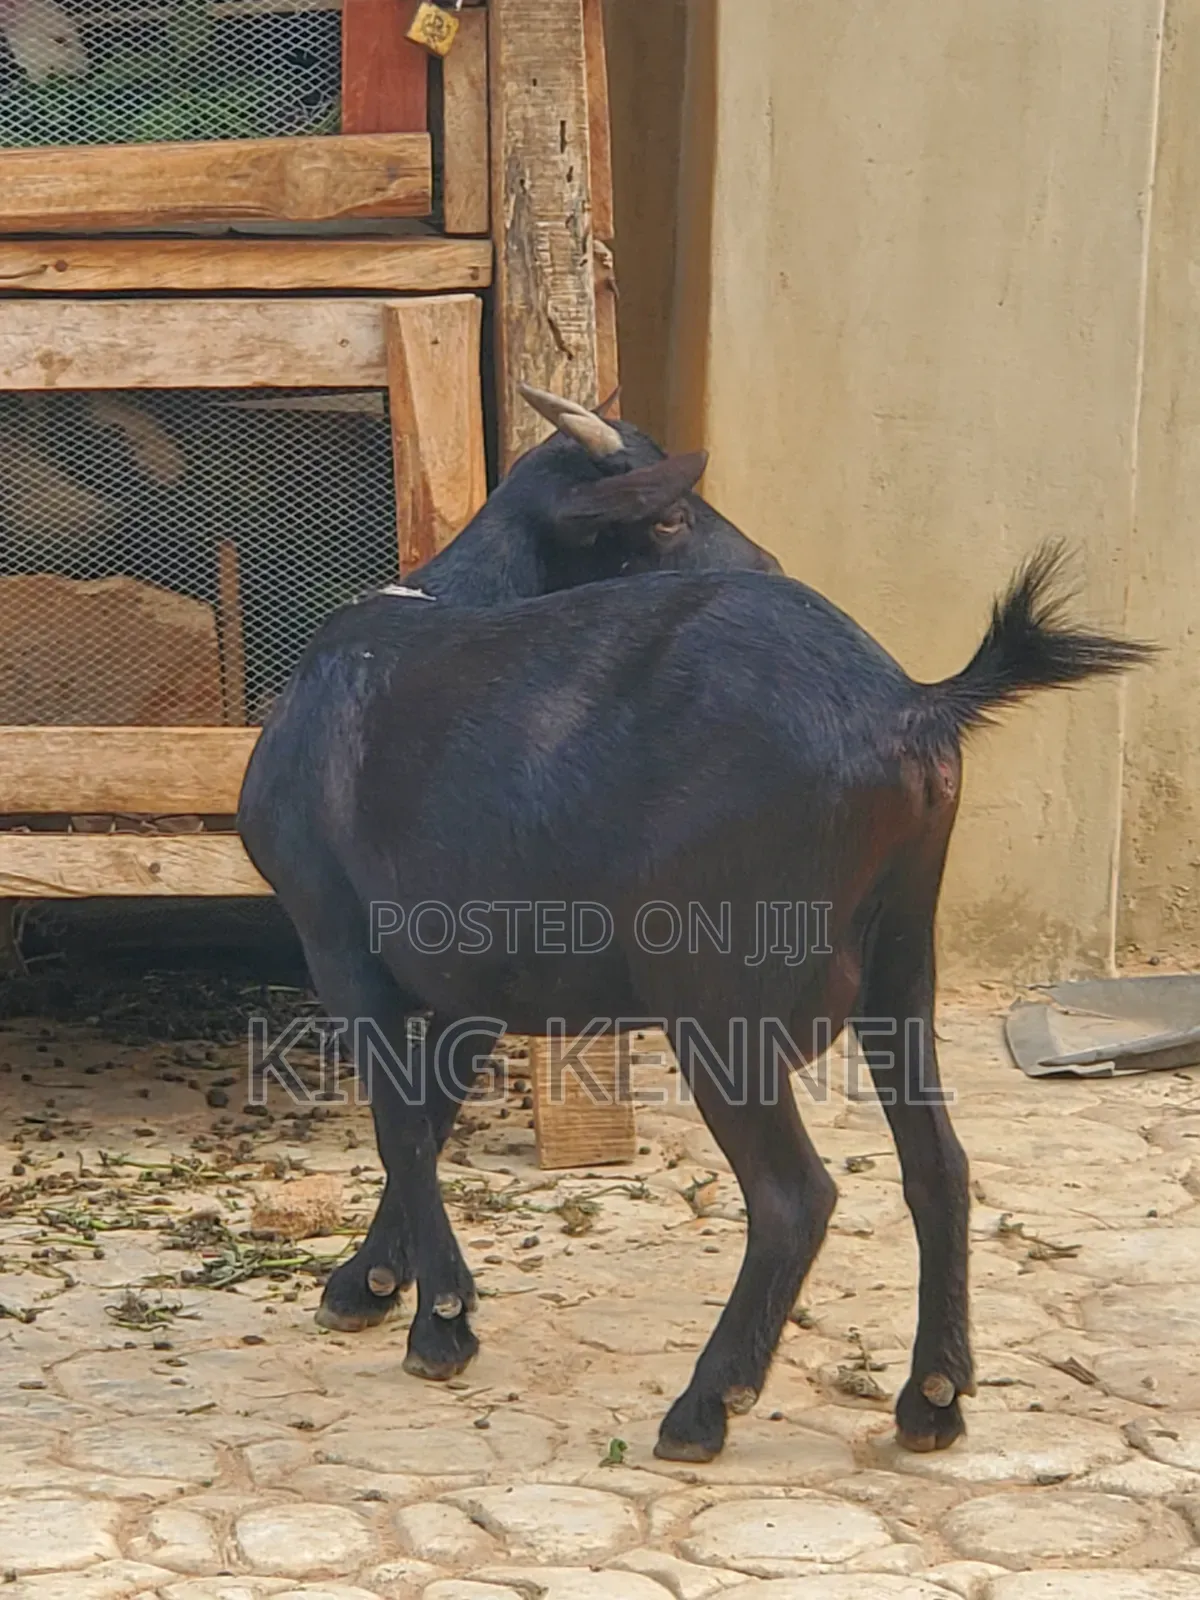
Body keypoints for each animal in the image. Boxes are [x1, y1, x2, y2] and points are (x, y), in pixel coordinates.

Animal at [239, 431, 1151, 1463]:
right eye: (670, 517)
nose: (774, 563)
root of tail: (913, 706)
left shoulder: (340, 942)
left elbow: (399, 1122)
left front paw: (439, 1324)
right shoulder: (475, 984)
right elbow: (425, 1124)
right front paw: (372, 1285)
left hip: (721, 993)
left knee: (795, 1196)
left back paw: (705, 1405)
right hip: (902, 962)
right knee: (940, 1167)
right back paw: (933, 1397)